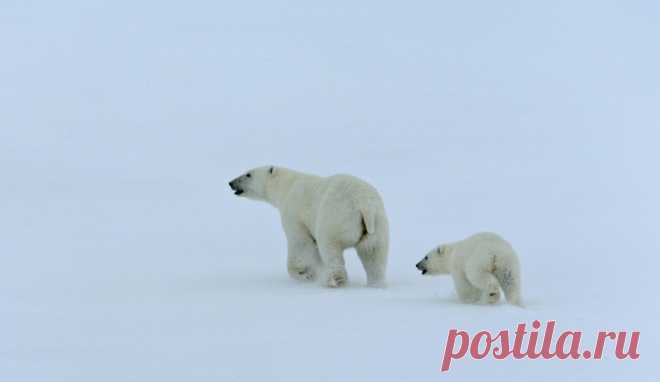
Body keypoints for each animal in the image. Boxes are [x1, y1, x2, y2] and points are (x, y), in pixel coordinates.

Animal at [229, 166, 390, 288]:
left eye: (248, 174)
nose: (231, 183)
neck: (287, 186)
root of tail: (365, 206)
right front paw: (314, 272)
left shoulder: (294, 213)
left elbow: (300, 243)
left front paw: (305, 274)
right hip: (377, 226)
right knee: (374, 255)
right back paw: (376, 284)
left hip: (335, 218)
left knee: (331, 249)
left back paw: (334, 281)